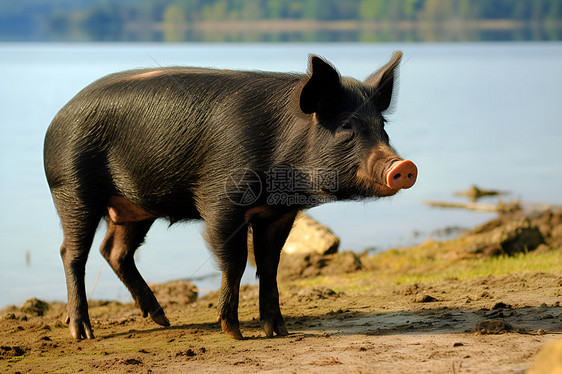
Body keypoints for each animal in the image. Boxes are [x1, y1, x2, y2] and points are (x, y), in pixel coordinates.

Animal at [43, 51, 416, 340]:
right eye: (346, 127)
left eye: (383, 128)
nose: (404, 165)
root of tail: (56, 119)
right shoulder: (221, 202)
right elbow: (234, 261)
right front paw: (233, 332)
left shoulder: (279, 215)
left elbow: (269, 264)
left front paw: (279, 331)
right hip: (72, 188)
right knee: (71, 253)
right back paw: (83, 333)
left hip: (135, 207)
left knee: (114, 250)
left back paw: (163, 320)